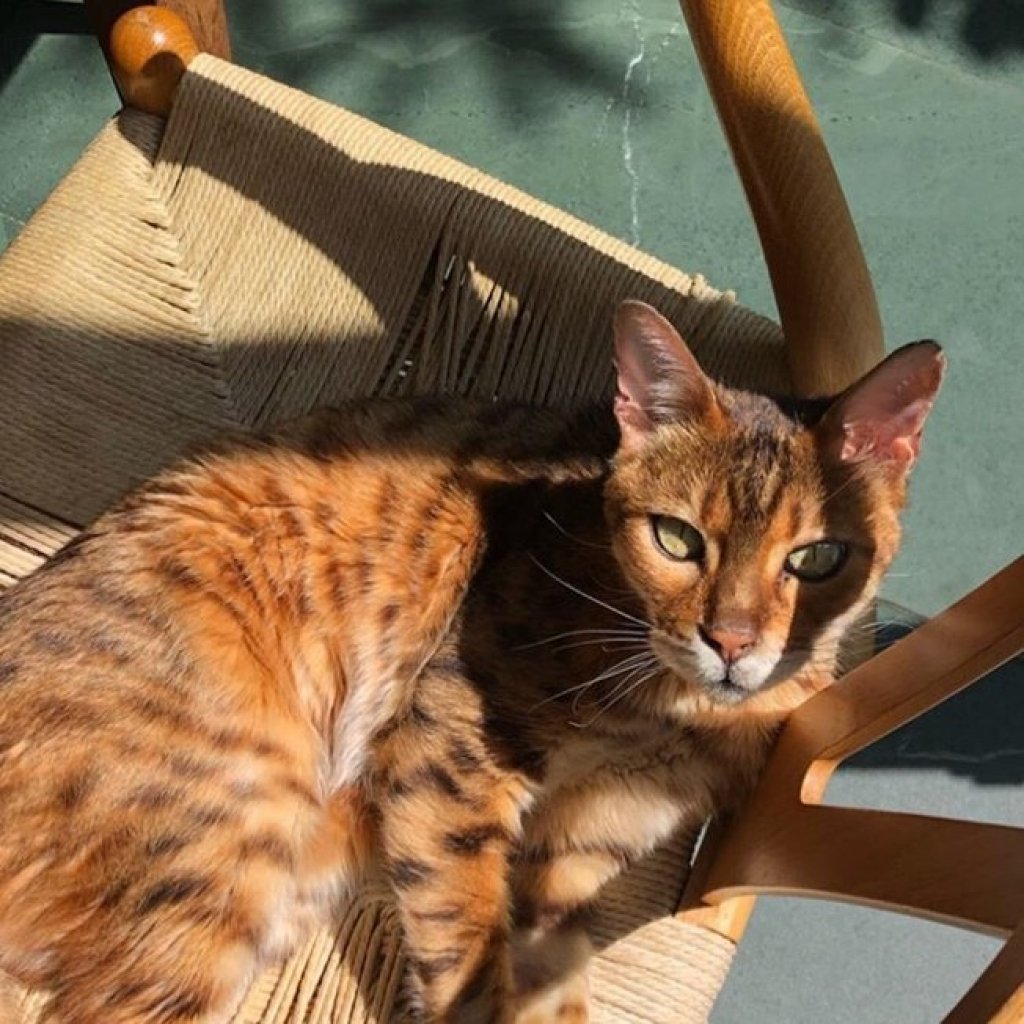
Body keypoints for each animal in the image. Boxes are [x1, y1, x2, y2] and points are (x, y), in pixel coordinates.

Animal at [0, 299, 942, 1019]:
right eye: (677, 539)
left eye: (817, 558)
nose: (733, 644)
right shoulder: (447, 757)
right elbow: (471, 963)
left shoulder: (590, 848)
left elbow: (553, 973)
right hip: (225, 844)